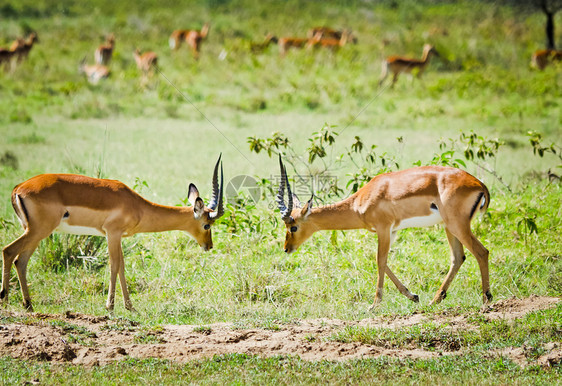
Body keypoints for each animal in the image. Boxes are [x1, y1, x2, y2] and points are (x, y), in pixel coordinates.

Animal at [2, 155, 225, 312]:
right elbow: (115, 265)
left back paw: (28, 304)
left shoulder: (118, 237)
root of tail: (18, 188)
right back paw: (5, 298)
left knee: (20, 261)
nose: (209, 246)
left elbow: (122, 267)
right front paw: (110, 306)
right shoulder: (112, 233)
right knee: (8, 251)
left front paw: (129, 306)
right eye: (207, 225)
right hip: (38, 230)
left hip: (33, 232)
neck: (137, 205)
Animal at [276, 157, 490, 308]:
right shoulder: (392, 231)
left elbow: (379, 261)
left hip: (457, 225)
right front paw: (413, 296)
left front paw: (374, 304)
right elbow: (384, 261)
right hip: (449, 227)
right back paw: (435, 300)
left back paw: (487, 300)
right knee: (458, 257)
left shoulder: (383, 229)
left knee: (481, 252)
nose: (286, 249)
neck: (360, 201)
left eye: (293, 227)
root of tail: (479, 184)